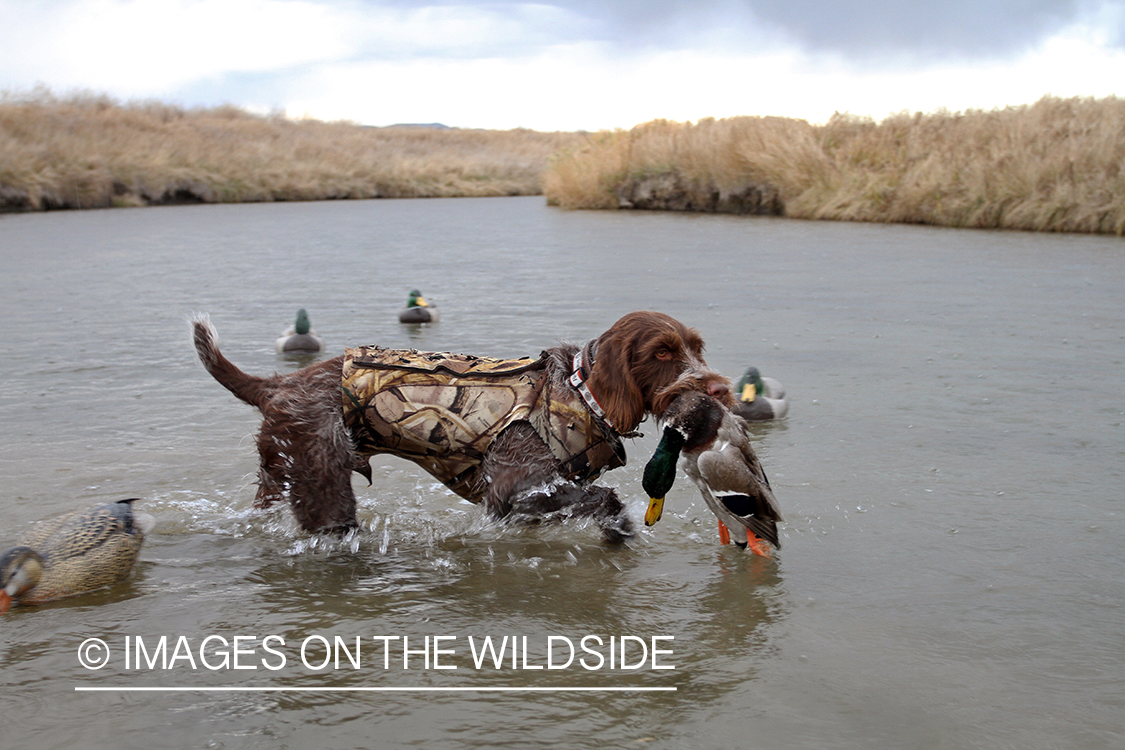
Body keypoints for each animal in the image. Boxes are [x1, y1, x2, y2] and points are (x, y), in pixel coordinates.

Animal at [193, 310, 733, 539]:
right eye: (661, 352)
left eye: (696, 347)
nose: (718, 389)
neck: (579, 394)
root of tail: (276, 386)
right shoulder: (513, 488)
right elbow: (604, 499)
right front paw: (618, 526)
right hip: (324, 489)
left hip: (279, 475)